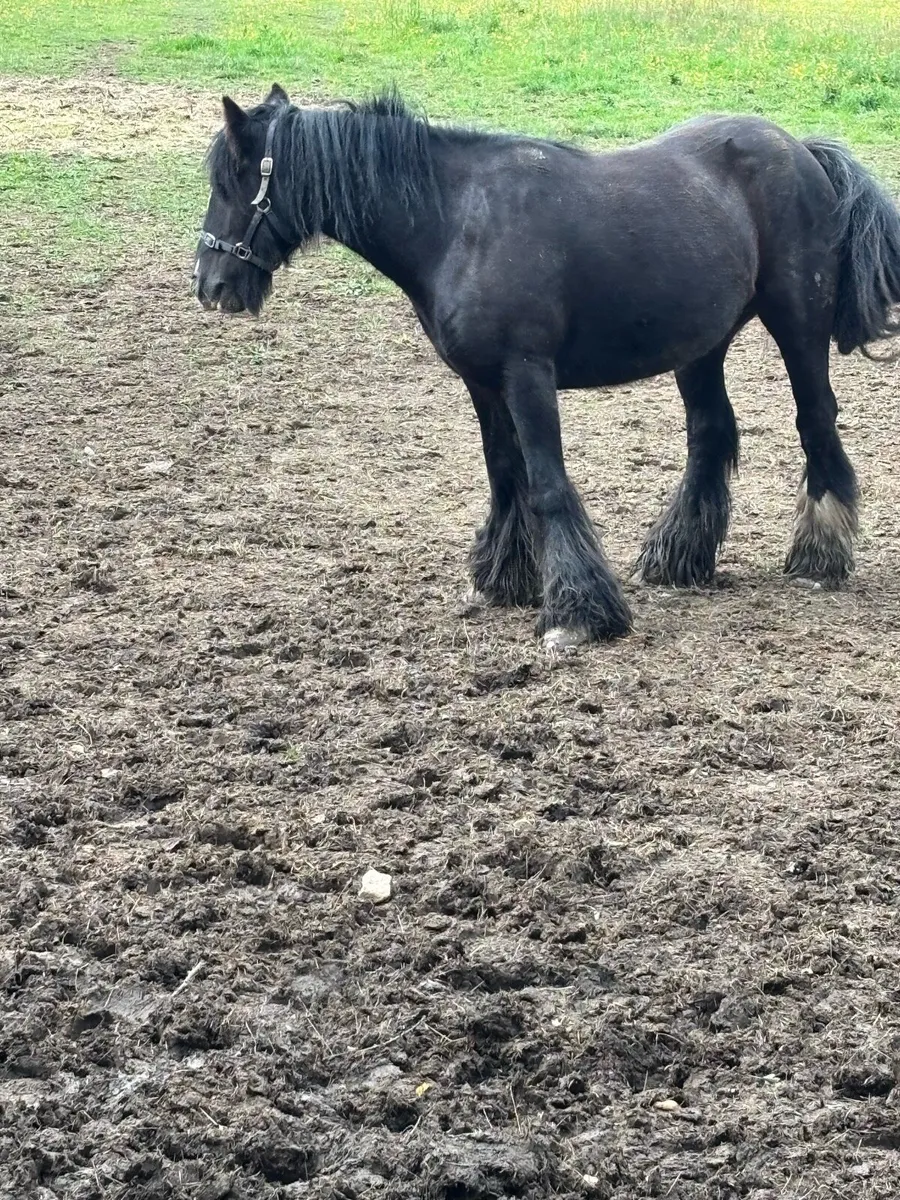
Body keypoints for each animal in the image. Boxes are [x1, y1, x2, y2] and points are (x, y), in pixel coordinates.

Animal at [193, 84, 900, 652]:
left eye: (232, 182)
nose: (211, 286)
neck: (457, 223)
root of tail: (801, 150)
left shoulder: (526, 375)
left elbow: (547, 485)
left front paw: (577, 612)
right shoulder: (484, 383)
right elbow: (506, 476)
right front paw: (504, 579)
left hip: (797, 326)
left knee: (816, 422)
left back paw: (820, 556)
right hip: (702, 346)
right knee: (711, 434)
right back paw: (678, 560)